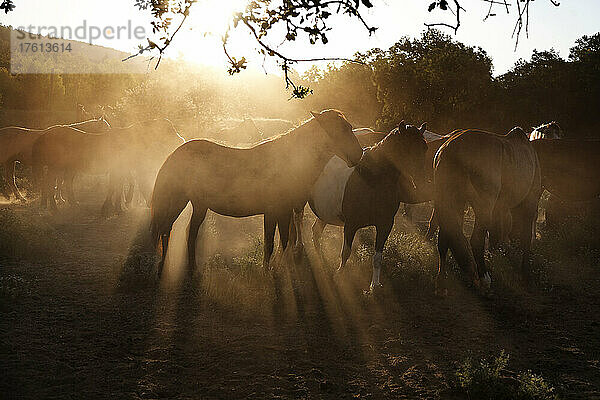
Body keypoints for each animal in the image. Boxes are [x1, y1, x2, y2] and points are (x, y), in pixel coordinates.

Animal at [150, 108, 364, 276]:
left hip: (197, 205)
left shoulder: (283, 211)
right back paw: (167, 267)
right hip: (179, 200)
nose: (359, 155)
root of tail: (175, 153)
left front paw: (275, 269)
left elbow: (282, 241)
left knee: (183, 231)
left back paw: (184, 267)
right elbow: (273, 243)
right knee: (168, 228)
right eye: (341, 129)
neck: (289, 162)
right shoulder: (274, 211)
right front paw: (270, 272)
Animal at [308, 122, 428, 290]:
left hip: (324, 213)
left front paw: (374, 285)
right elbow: (346, 252)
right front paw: (340, 275)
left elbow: (377, 257)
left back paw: (320, 258)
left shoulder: (385, 225)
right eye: (406, 147)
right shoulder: (351, 225)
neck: (372, 180)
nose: (422, 181)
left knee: (316, 232)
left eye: (425, 148)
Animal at [432, 127, 540, 290]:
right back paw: (484, 277)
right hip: (482, 208)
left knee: (444, 239)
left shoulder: (499, 208)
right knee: (476, 241)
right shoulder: (529, 204)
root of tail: (451, 147)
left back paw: (441, 284)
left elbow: (496, 233)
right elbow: (526, 238)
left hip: (452, 203)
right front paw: (525, 274)